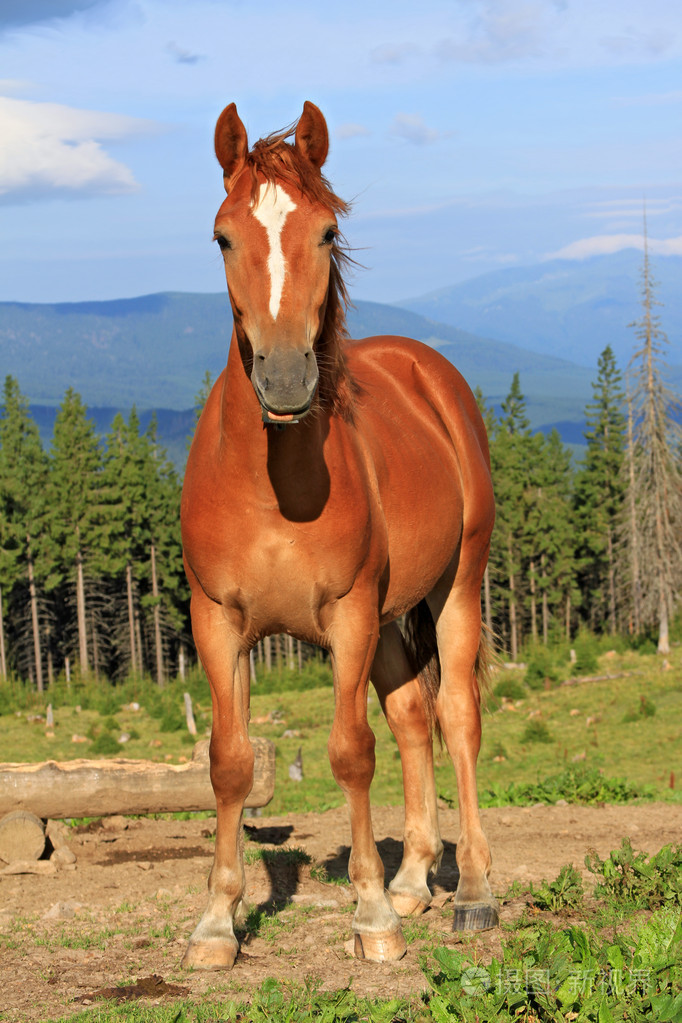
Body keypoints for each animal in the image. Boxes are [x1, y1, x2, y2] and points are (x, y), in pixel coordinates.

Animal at [180, 99, 498, 969]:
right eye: (222, 236)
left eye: (325, 232)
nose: (287, 378)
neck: (272, 489)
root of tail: (431, 373)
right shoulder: (218, 621)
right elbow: (229, 762)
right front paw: (217, 922)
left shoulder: (348, 615)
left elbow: (351, 752)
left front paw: (372, 916)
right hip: (391, 619)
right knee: (414, 719)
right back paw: (417, 879)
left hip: (455, 588)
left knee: (456, 716)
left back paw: (471, 892)